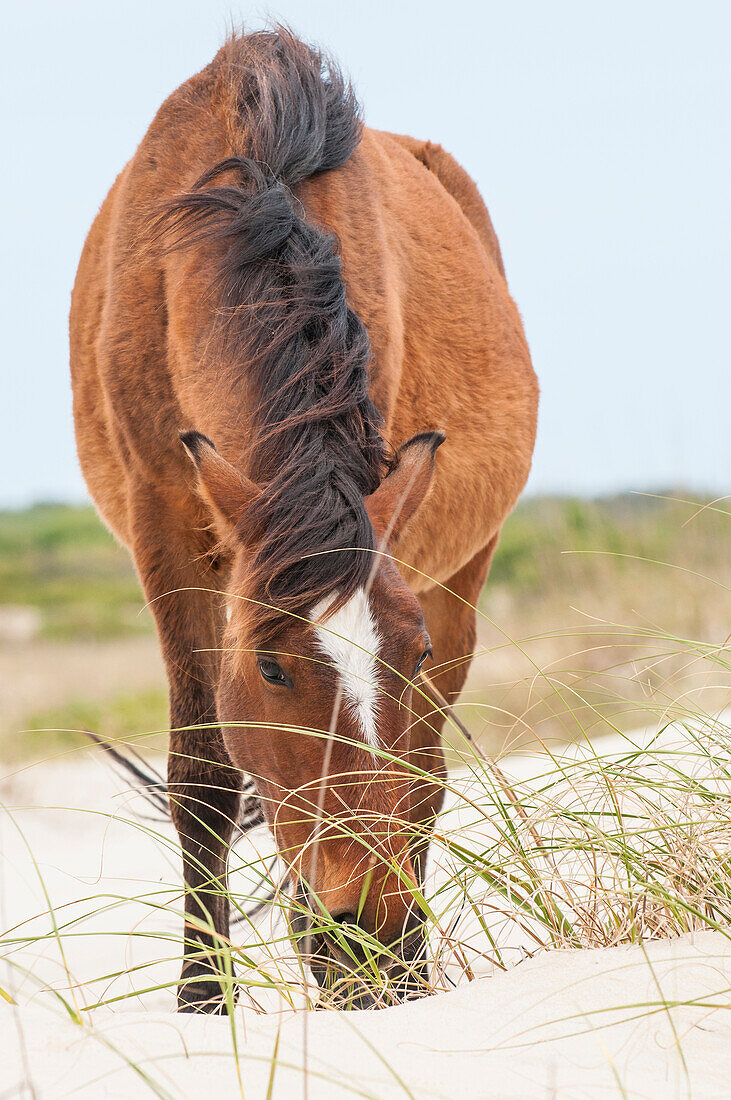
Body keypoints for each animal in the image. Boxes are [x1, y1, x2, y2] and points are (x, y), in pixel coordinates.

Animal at [69, 27, 536, 1012]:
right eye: (273, 669)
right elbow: (205, 777)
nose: (370, 931)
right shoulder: (166, 525)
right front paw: (202, 1000)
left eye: (412, 655)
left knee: (425, 774)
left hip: (462, 572)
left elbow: (406, 777)